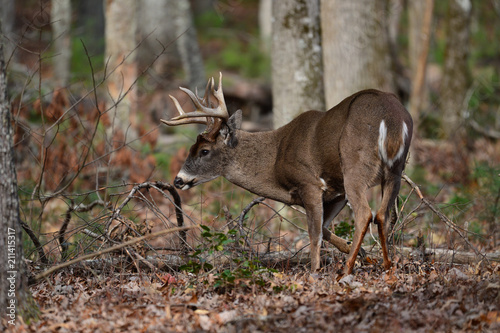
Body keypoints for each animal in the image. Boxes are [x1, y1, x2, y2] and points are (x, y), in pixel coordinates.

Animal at [162, 73, 412, 274]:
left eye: (204, 151)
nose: (178, 180)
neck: (275, 159)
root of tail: (392, 117)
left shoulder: (309, 183)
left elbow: (314, 234)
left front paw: (314, 272)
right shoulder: (335, 191)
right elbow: (324, 229)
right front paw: (365, 256)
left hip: (355, 164)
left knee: (364, 213)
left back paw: (347, 270)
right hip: (395, 169)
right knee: (382, 214)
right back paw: (387, 264)